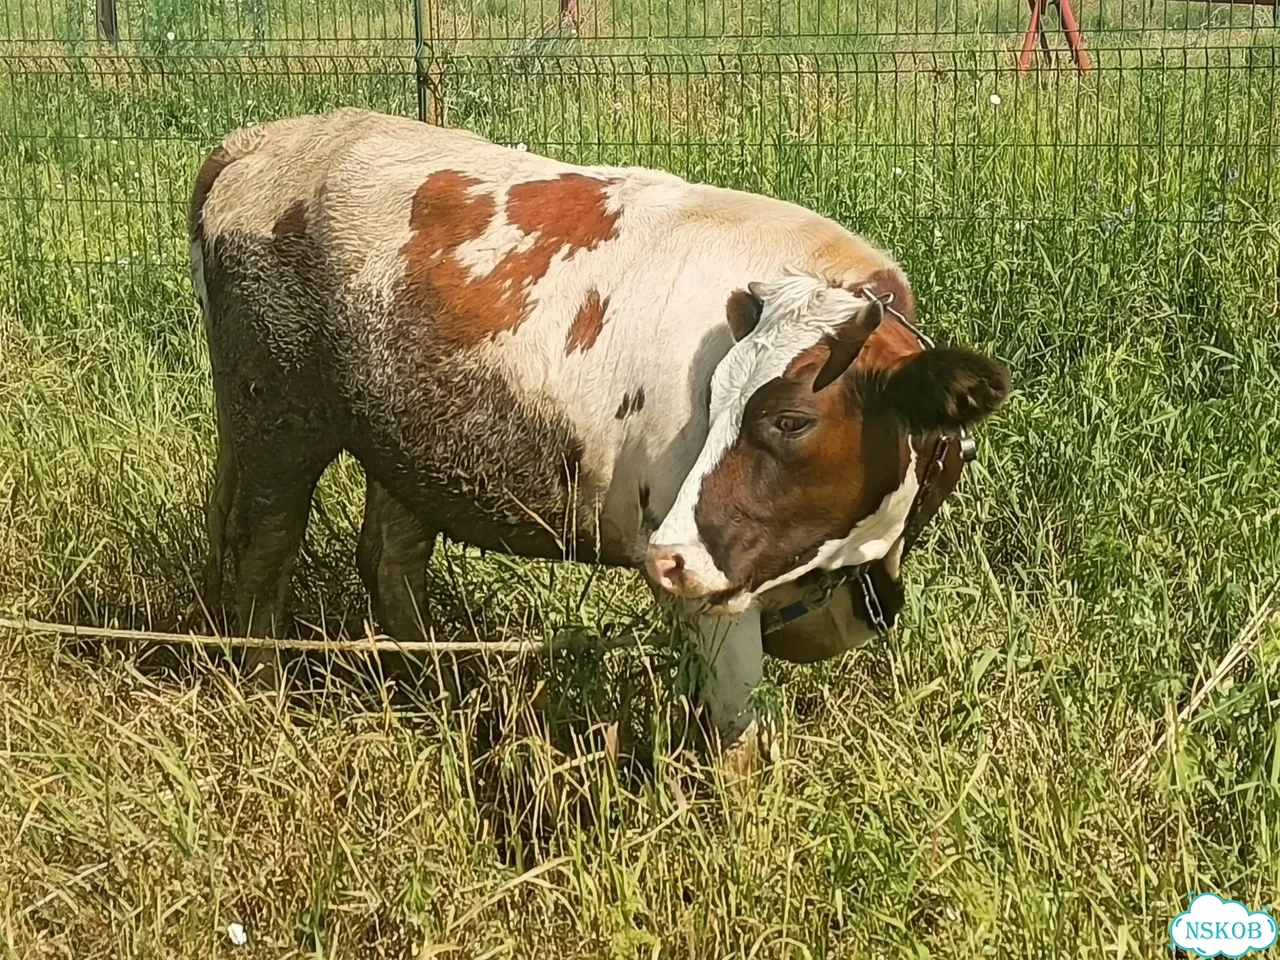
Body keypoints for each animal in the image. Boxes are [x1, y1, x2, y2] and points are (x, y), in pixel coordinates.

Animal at [188, 108, 1010, 760]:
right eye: (715, 397)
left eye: (791, 419)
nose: (667, 558)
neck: (853, 563)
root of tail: (261, 139)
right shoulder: (707, 590)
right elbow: (733, 733)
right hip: (275, 420)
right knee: (263, 561)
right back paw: (267, 699)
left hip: (409, 440)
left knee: (390, 560)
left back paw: (437, 687)